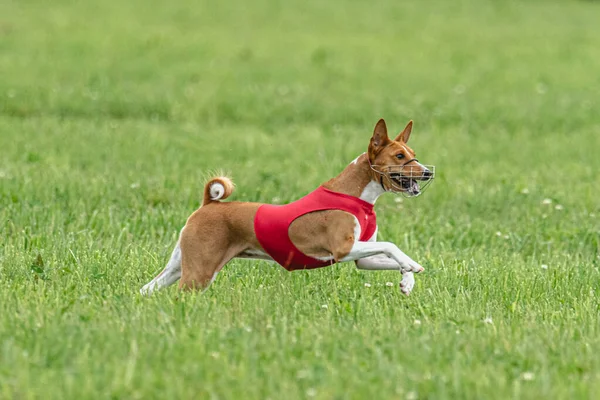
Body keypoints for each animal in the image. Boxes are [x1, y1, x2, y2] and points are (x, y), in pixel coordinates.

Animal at [139, 119, 432, 296]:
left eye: (413, 154)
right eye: (399, 156)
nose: (428, 172)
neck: (355, 195)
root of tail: (208, 204)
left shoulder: (363, 259)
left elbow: (389, 255)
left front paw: (407, 278)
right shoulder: (343, 248)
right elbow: (392, 245)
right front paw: (411, 265)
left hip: (180, 264)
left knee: (147, 289)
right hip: (200, 271)